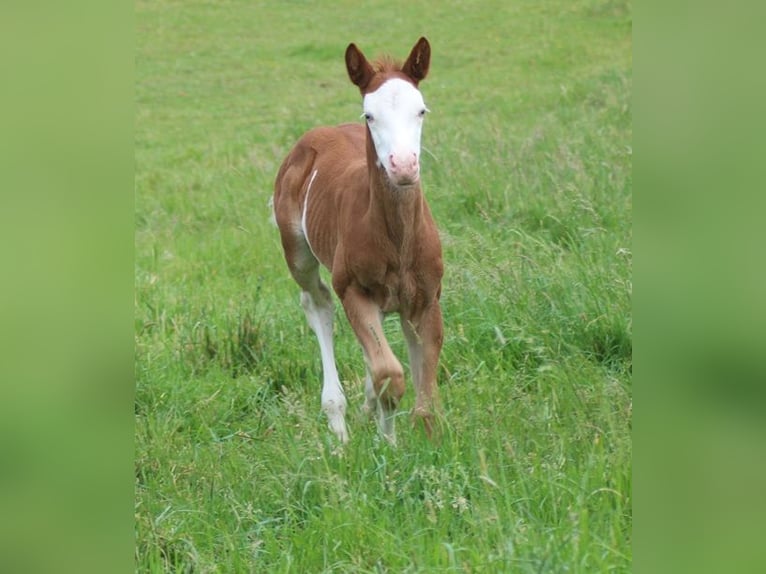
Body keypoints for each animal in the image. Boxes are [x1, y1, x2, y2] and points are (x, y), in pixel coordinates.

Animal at [272, 37, 443, 444]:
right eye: (370, 116)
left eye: (421, 110)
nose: (403, 166)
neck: (397, 241)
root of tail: (317, 134)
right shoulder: (354, 292)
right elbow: (390, 377)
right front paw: (388, 444)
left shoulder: (427, 298)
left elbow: (424, 398)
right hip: (297, 253)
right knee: (317, 302)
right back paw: (338, 428)